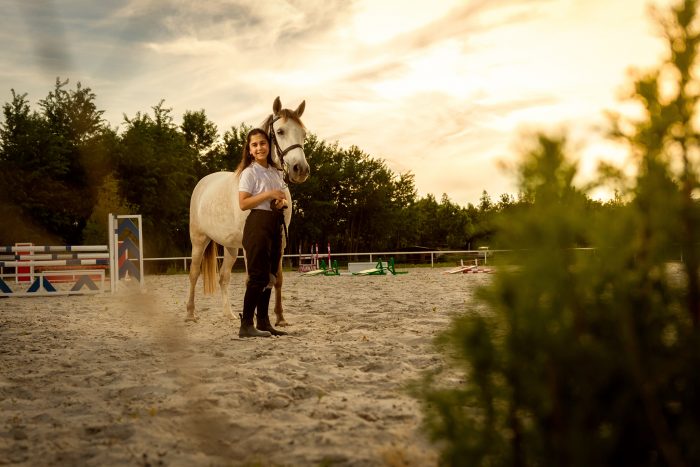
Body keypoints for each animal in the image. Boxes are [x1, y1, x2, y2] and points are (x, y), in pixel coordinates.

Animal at [186, 98, 308, 326]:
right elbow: (252, 279)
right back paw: (190, 313)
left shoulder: (280, 243)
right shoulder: (251, 245)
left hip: (230, 247)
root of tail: (203, 183)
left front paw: (280, 318)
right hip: (199, 240)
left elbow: (277, 279)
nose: (300, 169)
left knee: (223, 277)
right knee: (194, 273)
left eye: (303, 134)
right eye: (280, 131)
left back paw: (229, 314)